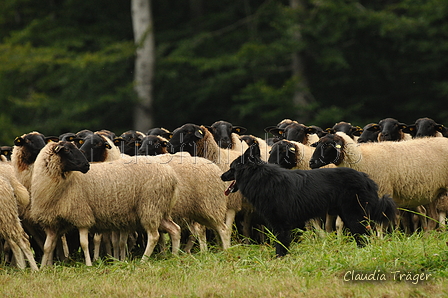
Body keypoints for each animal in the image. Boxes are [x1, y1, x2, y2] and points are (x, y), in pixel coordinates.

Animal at [29, 141, 181, 266]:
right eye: (67, 150)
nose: (87, 166)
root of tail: (172, 175)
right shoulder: (52, 223)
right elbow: (47, 247)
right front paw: (43, 268)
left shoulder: (82, 215)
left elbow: (84, 243)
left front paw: (89, 265)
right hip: (160, 209)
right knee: (175, 229)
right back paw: (174, 256)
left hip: (150, 206)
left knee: (154, 236)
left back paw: (144, 260)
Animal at [220, 143, 396, 256]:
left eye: (231, 168)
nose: (221, 176)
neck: (260, 178)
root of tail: (366, 179)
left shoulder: (281, 225)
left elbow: (280, 248)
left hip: (353, 216)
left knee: (364, 238)